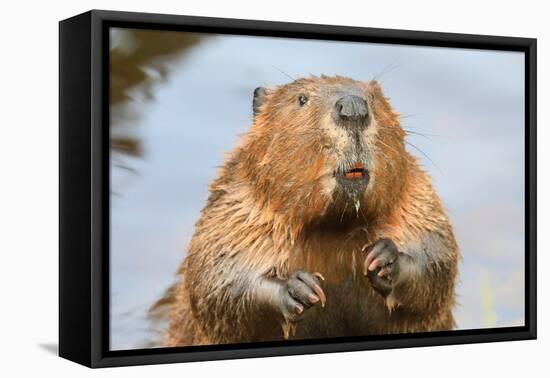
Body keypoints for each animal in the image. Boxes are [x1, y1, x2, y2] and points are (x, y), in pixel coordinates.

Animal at [164, 74, 462, 346]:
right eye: (301, 99)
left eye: (374, 98)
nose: (353, 107)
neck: (333, 229)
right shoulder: (236, 207)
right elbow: (217, 280)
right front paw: (299, 288)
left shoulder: (416, 198)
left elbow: (437, 254)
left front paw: (383, 259)